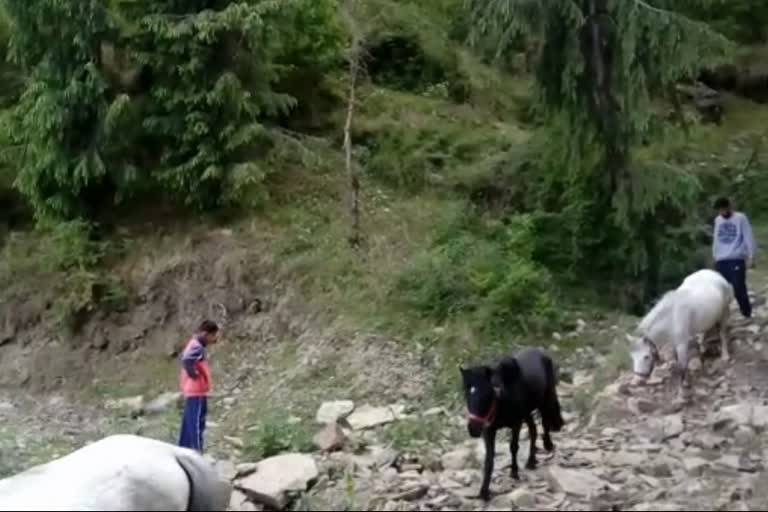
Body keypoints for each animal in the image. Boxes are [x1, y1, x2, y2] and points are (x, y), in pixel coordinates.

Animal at [462, 348, 564, 500]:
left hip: (545, 399)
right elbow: (489, 459)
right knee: (533, 430)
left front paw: (514, 472)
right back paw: (531, 461)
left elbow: (514, 447)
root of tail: (540, 352)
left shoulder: (516, 424)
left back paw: (547, 446)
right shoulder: (489, 430)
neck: (502, 399)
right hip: (527, 412)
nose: (473, 429)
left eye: (488, 394)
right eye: (467, 394)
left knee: (545, 424)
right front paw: (484, 491)